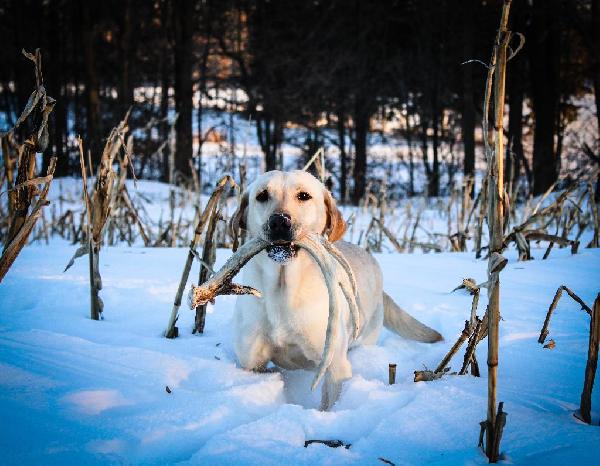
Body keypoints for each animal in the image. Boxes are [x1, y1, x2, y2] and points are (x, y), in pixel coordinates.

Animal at [230, 169, 440, 410]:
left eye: (304, 196)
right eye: (262, 195)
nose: (279, 222)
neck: (282, 291)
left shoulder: (336, 367)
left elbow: (328, 403)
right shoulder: (252, 363)